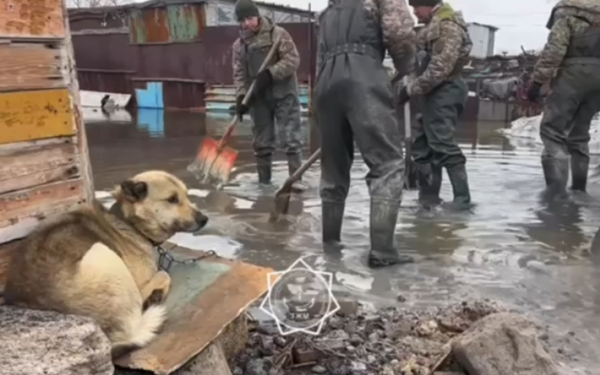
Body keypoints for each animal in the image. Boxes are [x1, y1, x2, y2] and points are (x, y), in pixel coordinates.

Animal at [2, 170, 209, 358]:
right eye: (172, 199)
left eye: (186, 195)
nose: (204, 219)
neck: (128, 223)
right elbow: (163, 274)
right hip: (102, 252)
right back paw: (154, 298)